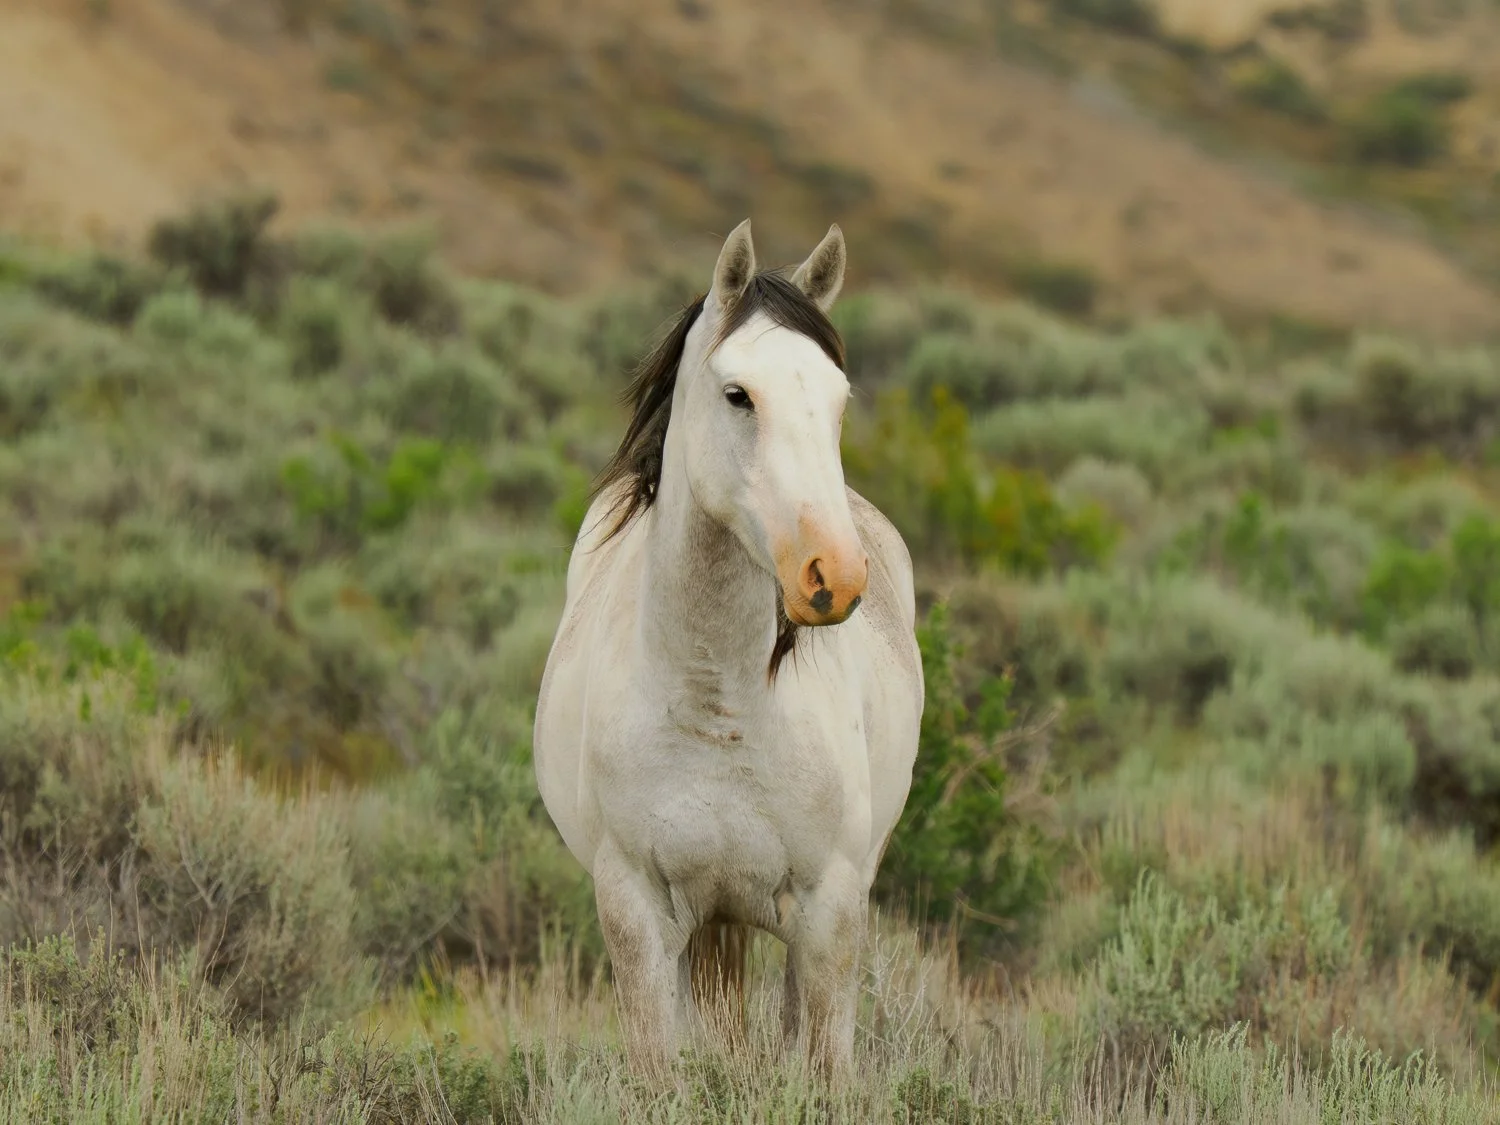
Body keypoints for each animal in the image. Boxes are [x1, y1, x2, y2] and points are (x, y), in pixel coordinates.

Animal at [532, 219, 924, 1080]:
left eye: (839, 399)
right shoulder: (637, 911)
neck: (718, 699)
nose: (834, 573)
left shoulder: (831, 910)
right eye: (738, 394)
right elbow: (659, 1069)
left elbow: (823, 1066)